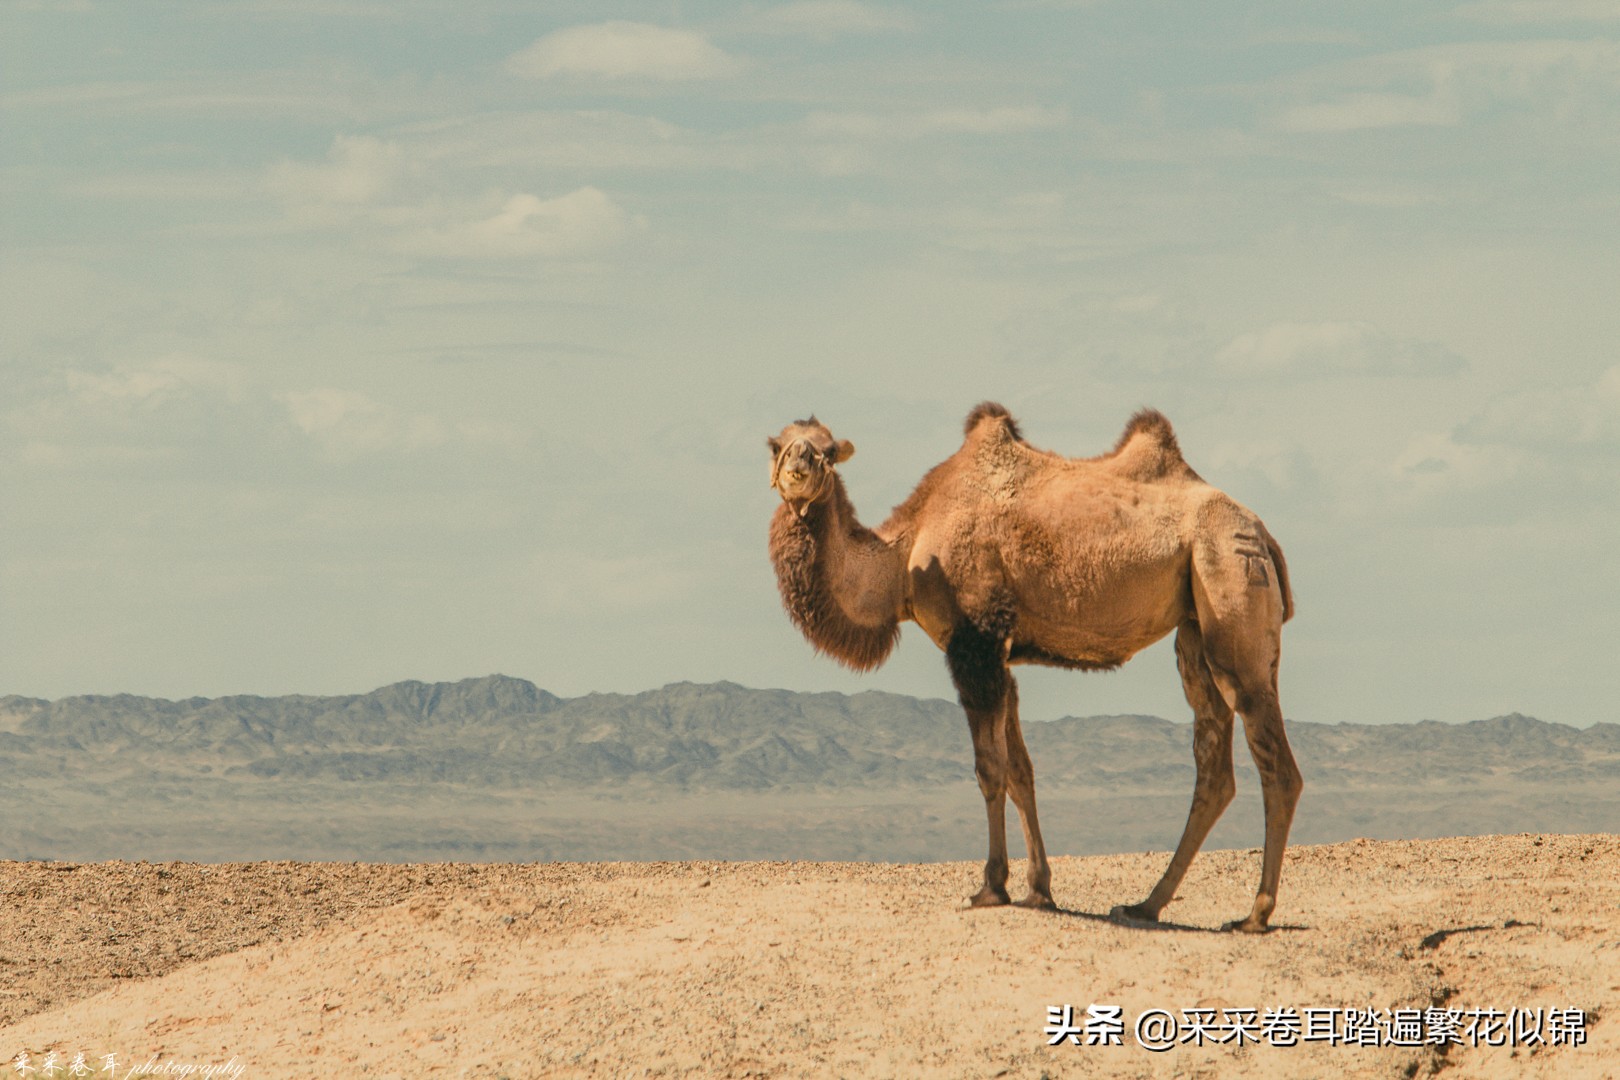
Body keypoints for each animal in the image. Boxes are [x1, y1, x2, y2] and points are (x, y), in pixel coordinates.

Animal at [767, 401, 1302, 932]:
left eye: (828, 451)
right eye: (778, 446)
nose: (798, 470)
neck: (906, 557)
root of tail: (1262, 532)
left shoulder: (975, 643)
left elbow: (990, 769)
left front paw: (991, 887)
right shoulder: (1002, 657)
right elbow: (1020, 771)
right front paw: (1038, 890)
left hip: (1229, 576)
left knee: (1275, 762)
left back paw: (1255, 913)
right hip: (1194, 624)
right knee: (1214, 766)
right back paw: (1145, 905)